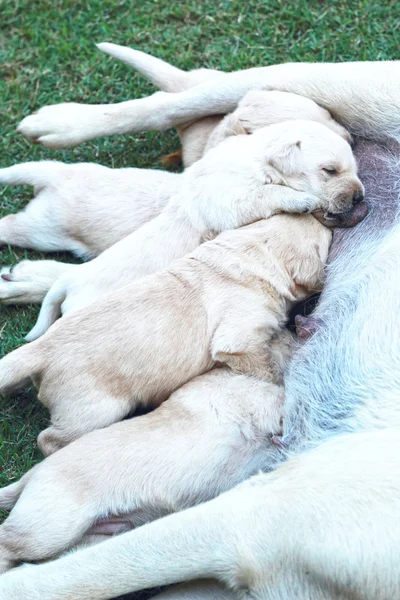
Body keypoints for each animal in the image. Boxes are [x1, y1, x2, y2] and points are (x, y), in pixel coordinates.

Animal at [0, 214, 332, 454]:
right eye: (328, 240)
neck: (253, 256)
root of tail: (42, 349)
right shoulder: (239, 340)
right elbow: (264, 365)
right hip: (92, 410)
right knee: (48, 439)